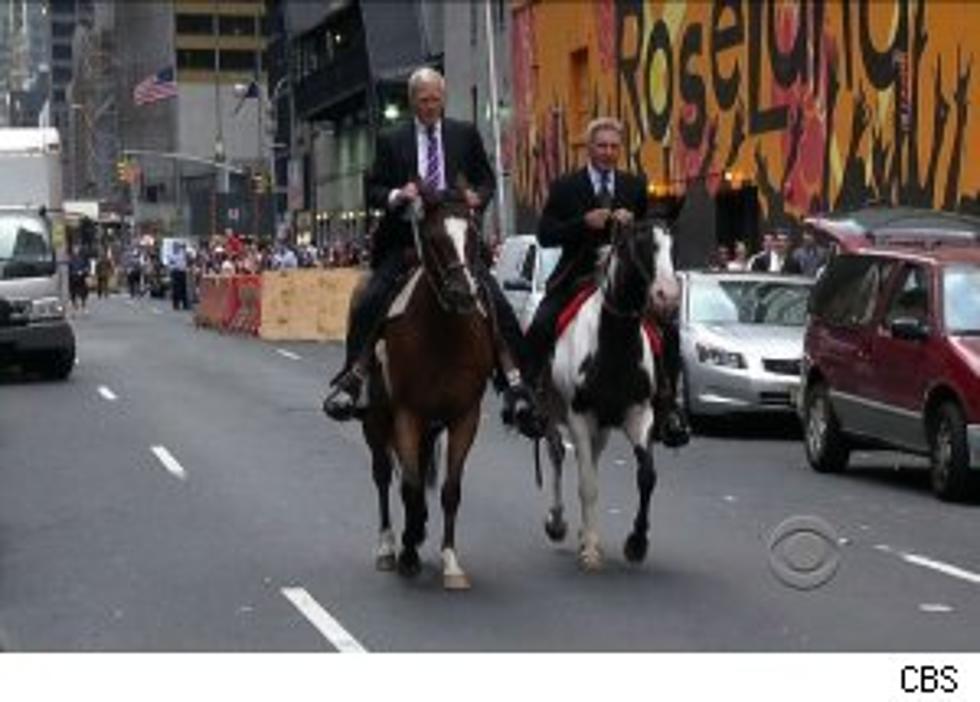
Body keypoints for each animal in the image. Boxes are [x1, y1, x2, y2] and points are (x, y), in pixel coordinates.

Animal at [358, 195, 494, 592]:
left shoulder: (465, 416)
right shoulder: (408, 413)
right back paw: (389, 546)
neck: (443, 333)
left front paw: (450, 561)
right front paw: (407, 552)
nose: (464, 293)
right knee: (383, 474)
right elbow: (410, 487)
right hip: (375, 419)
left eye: (473, 237)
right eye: (434, 239)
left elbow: (450, 489)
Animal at [540, 220, 676, 572]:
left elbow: (646, 476)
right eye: (640, 244)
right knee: (558, 454)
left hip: (600, 426)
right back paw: (558, 522)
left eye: (672, 245)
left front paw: (637, 542)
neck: (614, 344)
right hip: (553, 412)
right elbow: (587, 484)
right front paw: (590, 550)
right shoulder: (578, 415)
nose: (668, 296)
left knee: (590, 458)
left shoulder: (639, 414)